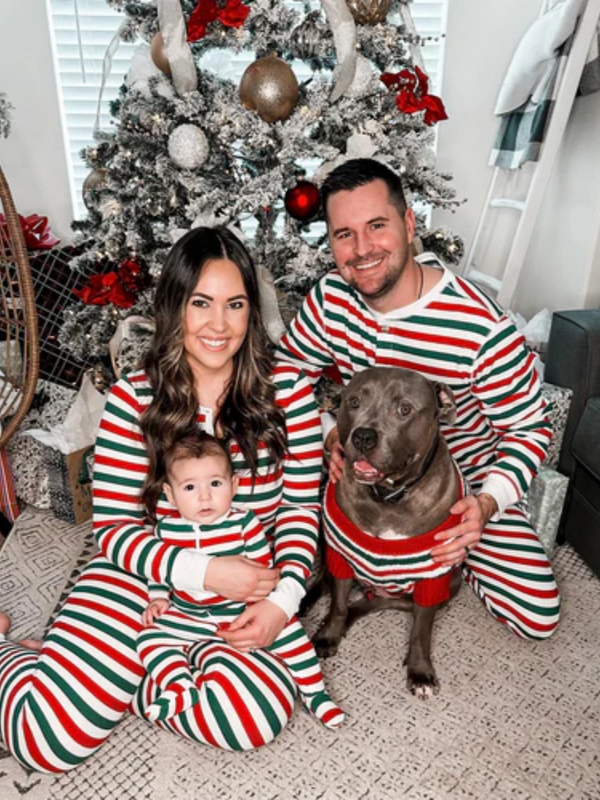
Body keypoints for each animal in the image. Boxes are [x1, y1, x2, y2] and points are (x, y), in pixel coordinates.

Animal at [314, 366, 464, 696]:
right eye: (354, 402)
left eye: (404, 409)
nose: (363, 436)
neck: (387, 497)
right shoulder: (341, 555)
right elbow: (338, 604)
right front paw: (329, 634)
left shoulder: (433, 576)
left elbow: (421, 630)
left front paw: (420, 671)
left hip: (451, 583)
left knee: (385, 604)